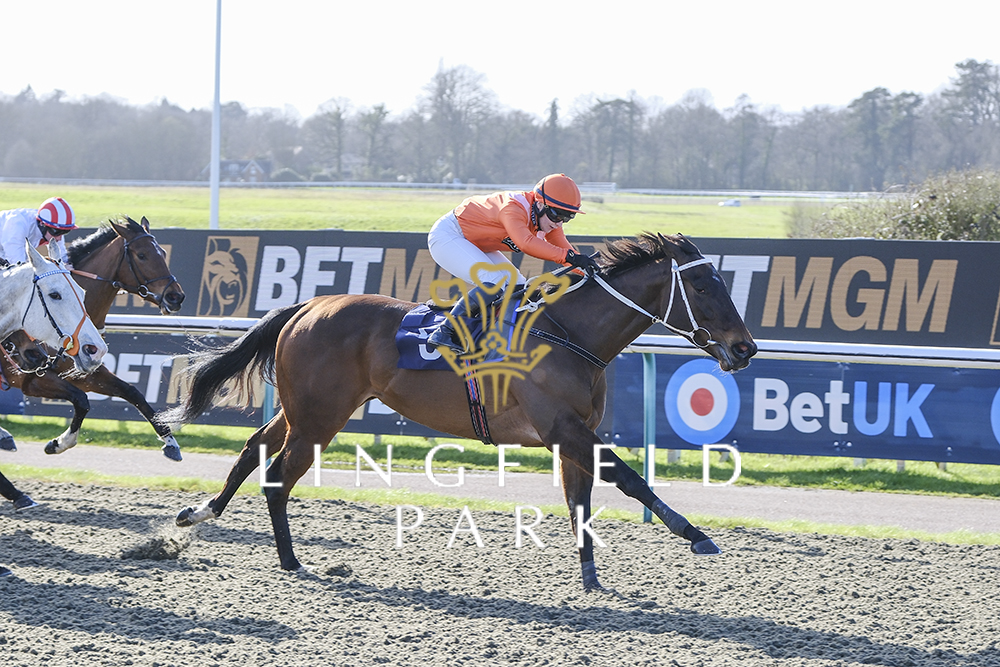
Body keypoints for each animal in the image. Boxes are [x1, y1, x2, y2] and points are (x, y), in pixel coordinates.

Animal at [0, 217, 186, 462]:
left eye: (163, 253)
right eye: (142, 255)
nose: (176, 296)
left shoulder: (85, 371)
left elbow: (131, 392)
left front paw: (170, 442)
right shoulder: (32, 379)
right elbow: (81, 399)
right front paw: (59, 442)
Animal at [166, 234, 756, 588]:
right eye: (702, 284)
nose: (746, 348)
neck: (569, 333)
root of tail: (308, 305)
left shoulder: (575, 431)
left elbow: (580, 500)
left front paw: (590, 577)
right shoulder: (560, 426)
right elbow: (630, 479)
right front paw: (695, 534)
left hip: (306, 409)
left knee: (253, 450)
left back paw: (198, 514)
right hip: (319, 416)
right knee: (278, 475)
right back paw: (290, 560)